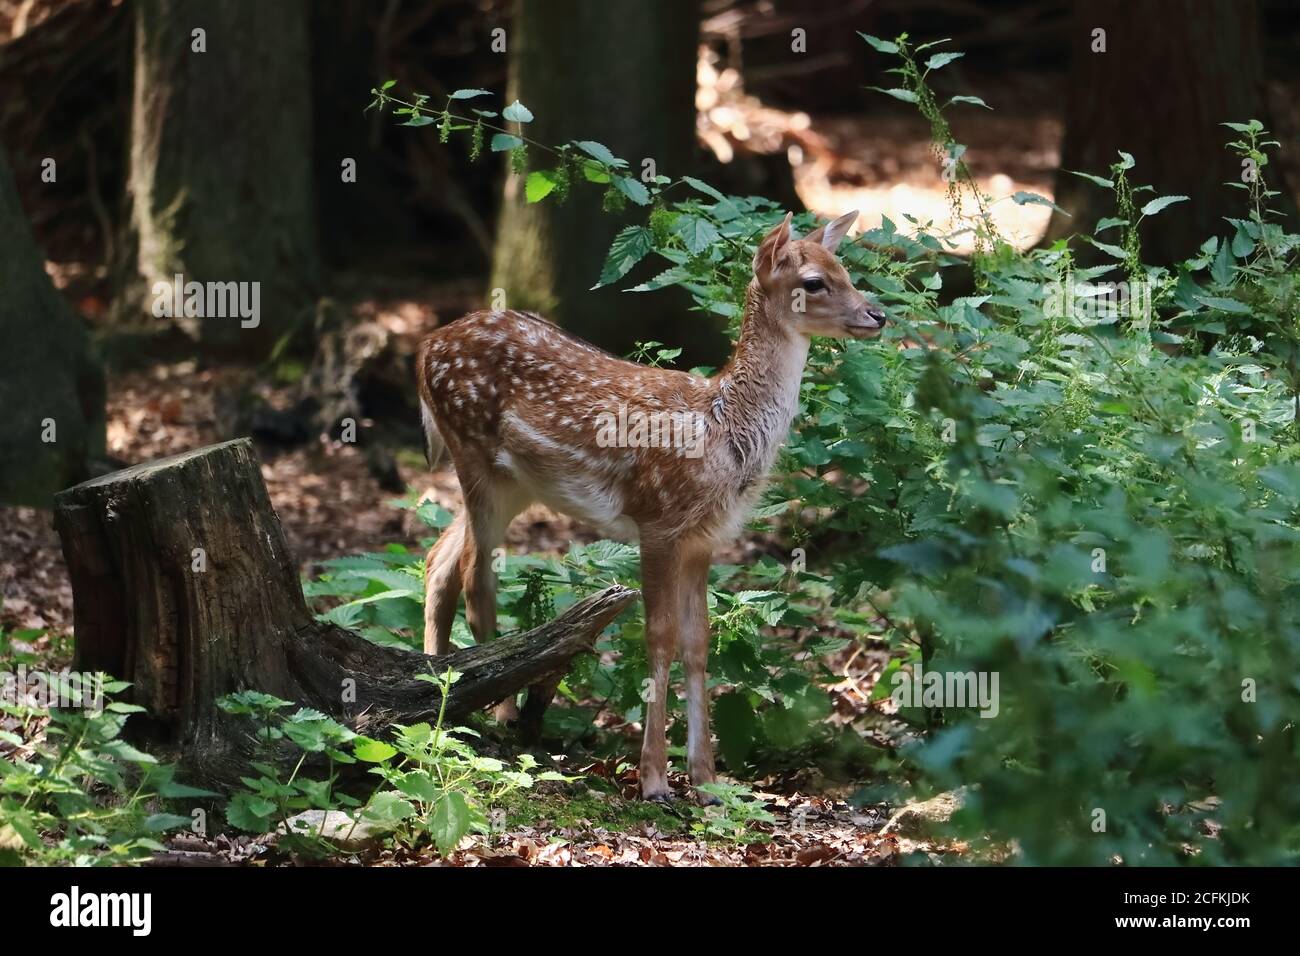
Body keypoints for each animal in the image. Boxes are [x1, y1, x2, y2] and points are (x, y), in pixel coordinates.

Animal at [416, 213, 883, 806]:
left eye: (845, 269)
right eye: (815, 282)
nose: (877, 315)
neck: (724, 432)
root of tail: (427, 344)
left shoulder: (706, 538)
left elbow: (698, 641)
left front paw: (707, 781)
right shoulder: (657, 520)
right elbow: (658, 637)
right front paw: (656, 780)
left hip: (514, 483)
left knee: (440, 561)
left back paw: (438, 694)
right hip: (474, 452)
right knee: (477, 575)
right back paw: (497, 713)